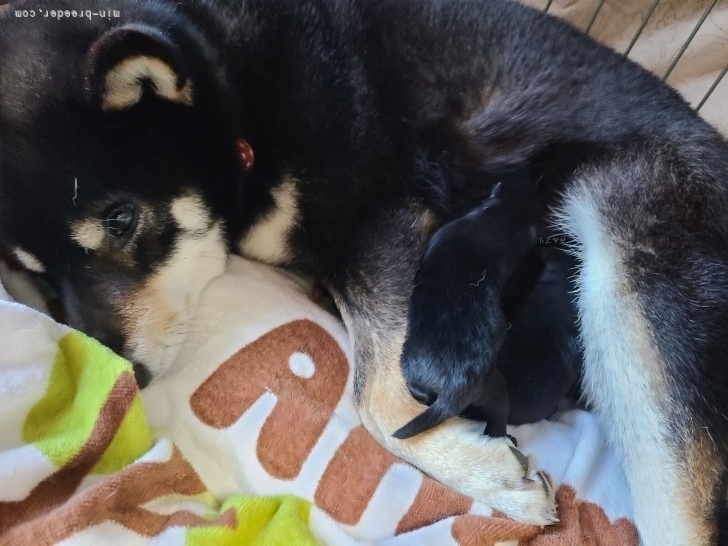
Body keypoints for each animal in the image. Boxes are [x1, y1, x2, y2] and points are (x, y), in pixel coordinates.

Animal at [1, 0, 728, 542]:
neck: (233, 87)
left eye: (121, 219)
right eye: (35, 273)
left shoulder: (377, 216)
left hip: (626, 271)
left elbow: (378, 397)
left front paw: (484, 474)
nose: (125, 372)